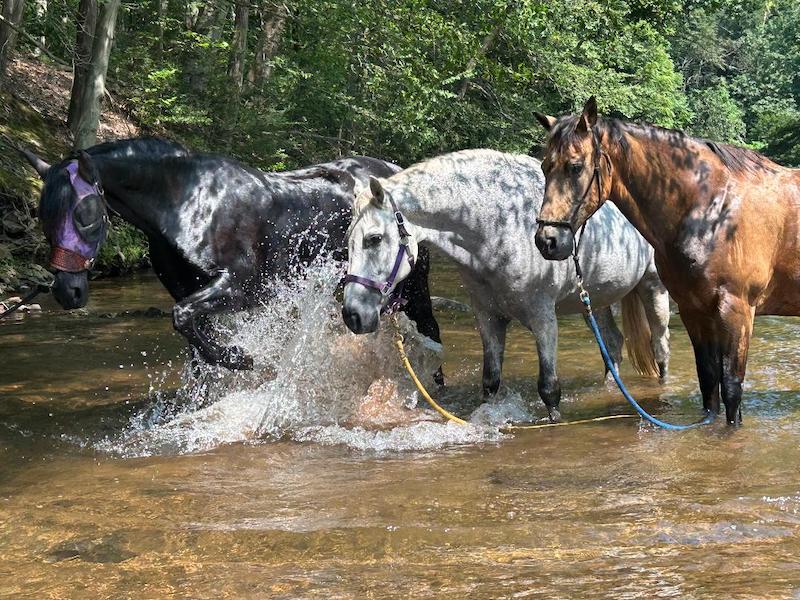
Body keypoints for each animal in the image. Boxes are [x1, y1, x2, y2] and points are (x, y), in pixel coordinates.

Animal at [20, 138, 442, 372]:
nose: (68, 291)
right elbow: (194, 342)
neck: (187, 201)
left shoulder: (243, 289)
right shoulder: (191, 293)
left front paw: (242, 359)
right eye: (42, 214)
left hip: (413, 288)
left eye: (85, 214)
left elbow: (182, 317)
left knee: (431, 332)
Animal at [341, 149, 671, 422]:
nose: (352, 314)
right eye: (348, 240)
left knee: (660, 347)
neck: (502, 229)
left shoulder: (543, 318)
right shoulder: (488, 316)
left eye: (374, 239)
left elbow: (549, 389)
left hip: (654, 288)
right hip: (595, 299)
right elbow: (490, 382)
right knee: (612, 345)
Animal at [533, 96, 800, 424]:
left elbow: (732, 389)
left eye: (575, 167)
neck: (712, 210)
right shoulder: (694, 310)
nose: (547, 240)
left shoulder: (736, 312)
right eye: (545, 167)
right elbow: (709, 383)